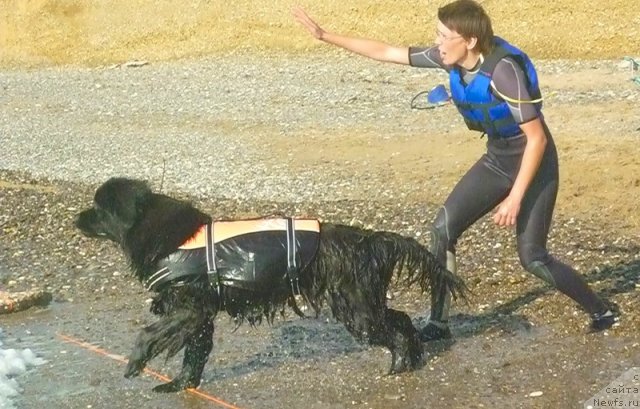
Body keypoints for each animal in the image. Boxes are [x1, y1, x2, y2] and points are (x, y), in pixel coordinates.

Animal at [75, 178, 464, 392]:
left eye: (97, 208)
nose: (76, 218)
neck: (171, 238)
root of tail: (368, 240)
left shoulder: (189, 307)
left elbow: (150, 334)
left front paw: (134, 363)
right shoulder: (200, 315)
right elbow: (194, 354)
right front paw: (178, 386)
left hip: (357, 309)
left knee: (394, 327)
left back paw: (399, 365)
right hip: (362, 303)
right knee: (400, 319)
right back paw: (412, 359)